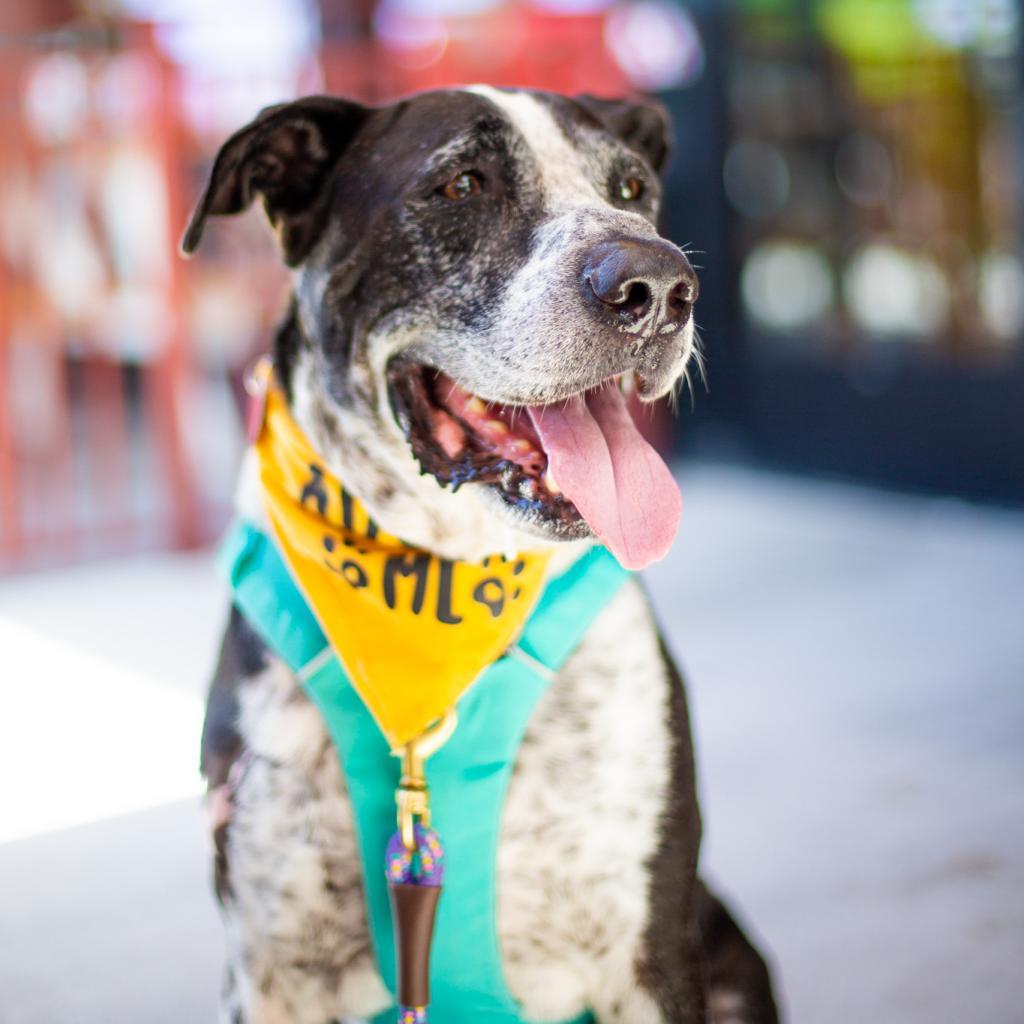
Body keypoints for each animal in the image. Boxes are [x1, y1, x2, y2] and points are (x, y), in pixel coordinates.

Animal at [186, 86, 774, 1024]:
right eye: (462, 184)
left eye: (632, 187)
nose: (657, 285)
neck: (447, 576)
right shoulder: (269, 974)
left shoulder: (649, 958)